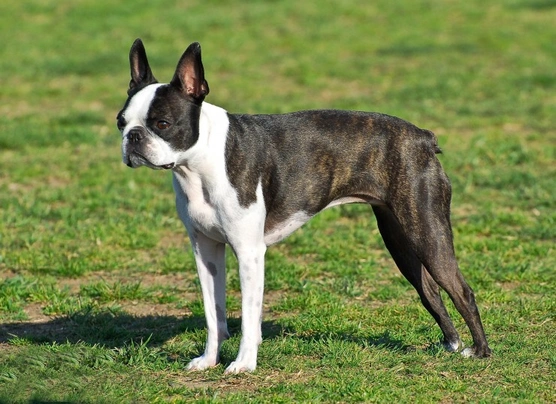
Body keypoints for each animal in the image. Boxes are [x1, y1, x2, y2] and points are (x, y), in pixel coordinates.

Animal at [117, 39, 490, 374]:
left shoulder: (249, 252)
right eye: (121, 122)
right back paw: (451, 344)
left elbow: (249, 316)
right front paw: (209, 360)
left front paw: (243, 364)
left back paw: (480, 352)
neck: (200, 163)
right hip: (400, 239)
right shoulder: (205, 250)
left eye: (163, 124)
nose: (133, 137)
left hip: (427, 231)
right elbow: (214, 313)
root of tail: (423, 137)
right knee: (430, 291)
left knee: (462, 290)